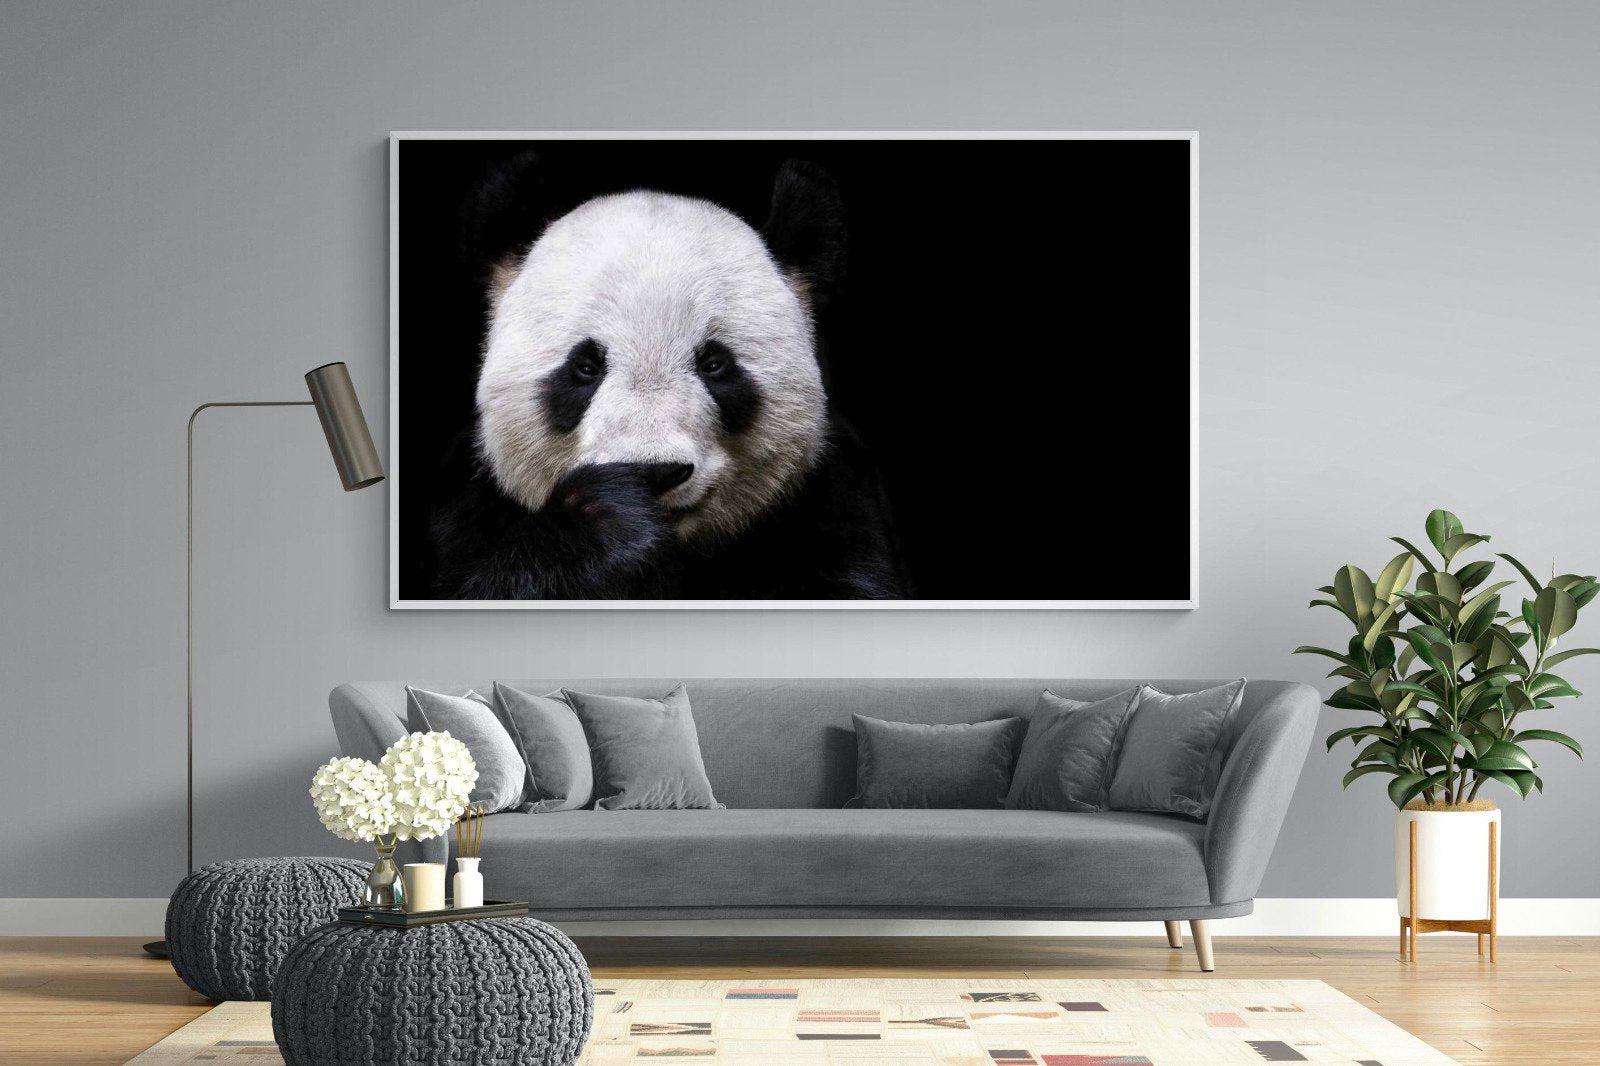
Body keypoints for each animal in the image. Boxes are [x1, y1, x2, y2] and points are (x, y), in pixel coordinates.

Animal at [428, 155, 910, 600]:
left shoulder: (833, 505)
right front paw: (609, 520)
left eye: (714, 364)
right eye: (585, 367)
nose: (655, 472)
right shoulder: (469, 507)